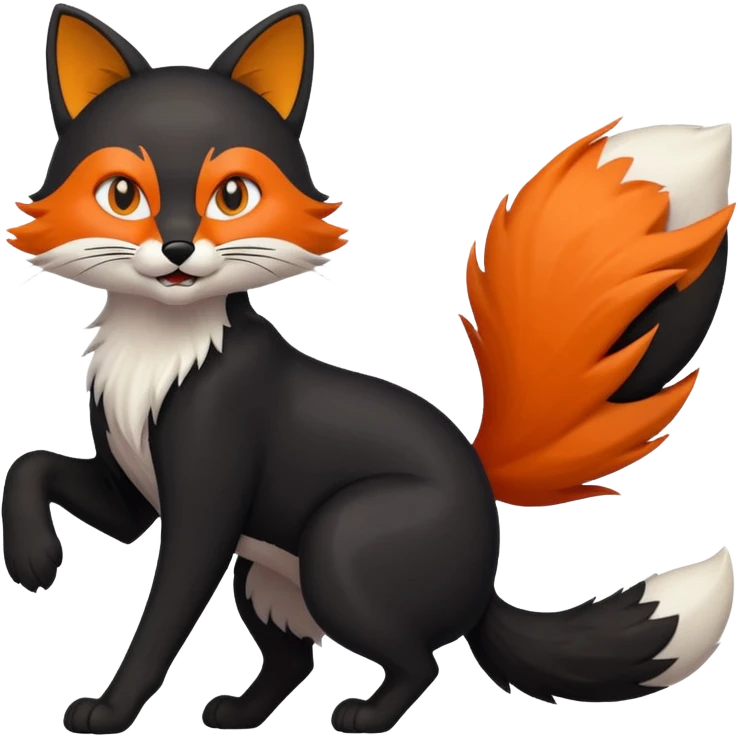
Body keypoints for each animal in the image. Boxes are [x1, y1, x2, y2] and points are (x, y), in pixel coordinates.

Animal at [1, 2, 735, 734]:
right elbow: (30, 465)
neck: (162, 349)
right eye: (122, 195)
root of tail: (487, 567)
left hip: (338, 545)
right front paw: (34, 558)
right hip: (268, 576)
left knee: (421, 663)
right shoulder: (130, 492)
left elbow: (160, 621)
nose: (178, 248)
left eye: (233, 196)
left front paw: (110, 710)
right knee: (297, 661)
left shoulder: (205, 504)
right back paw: (241, 713)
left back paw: (365, 716)